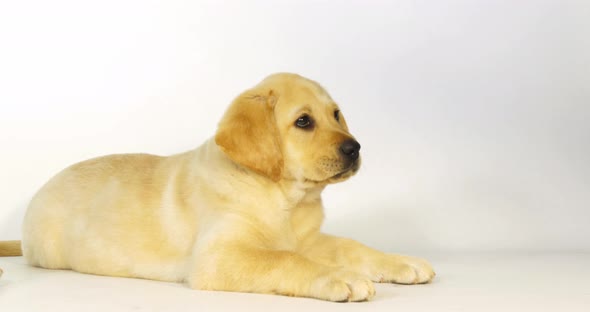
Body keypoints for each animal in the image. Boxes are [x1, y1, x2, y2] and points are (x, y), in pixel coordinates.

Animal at [9, 72, 434, 300]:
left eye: (336, 115)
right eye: (303, 121)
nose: (355, 148)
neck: (282, 198)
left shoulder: (308, 238)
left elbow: (349, 246)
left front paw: (400, 261)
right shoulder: (218, 257)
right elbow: (286, 259)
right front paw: (339, 277)